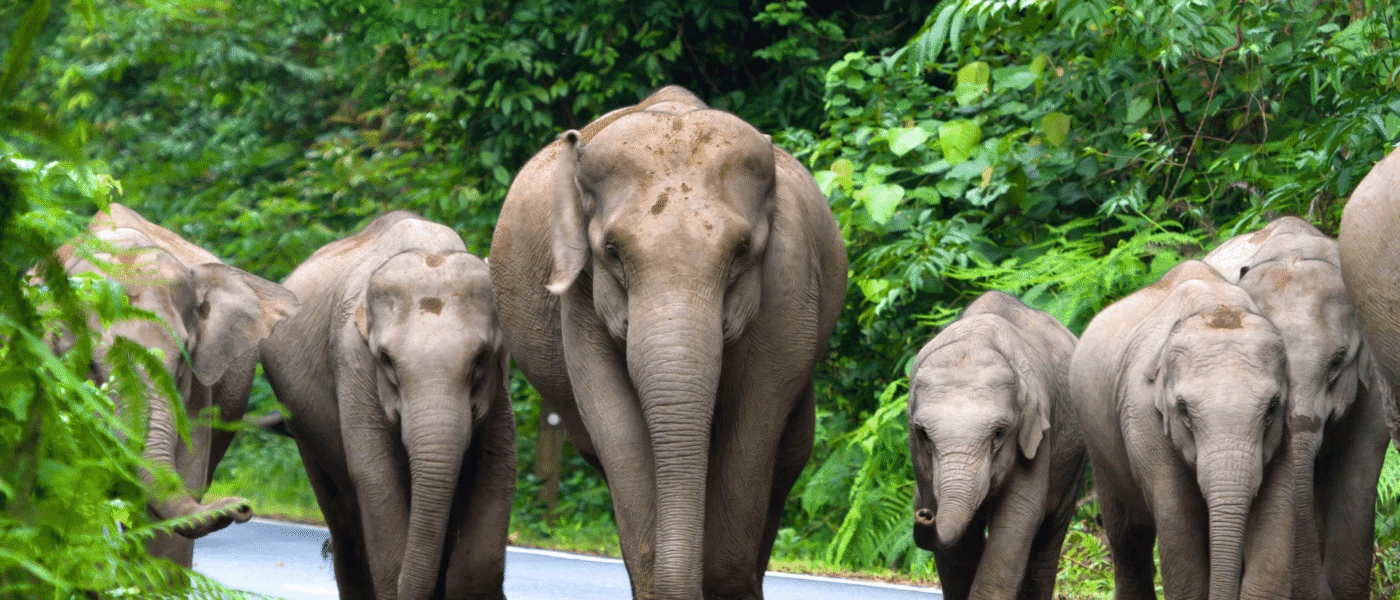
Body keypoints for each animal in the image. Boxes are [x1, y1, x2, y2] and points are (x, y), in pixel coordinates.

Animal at [260, 211, 515, 600]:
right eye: (386, 360)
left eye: (481, 359)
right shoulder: (352, 360)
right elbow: (374, 472)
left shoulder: (500, 385)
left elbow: (498, 469)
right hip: (302, 425)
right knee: (345, 524)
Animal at [489, 85, 847, 600]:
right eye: (613, 251)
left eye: (742, 250)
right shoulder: (580, 300)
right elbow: (614, 420)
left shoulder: (790, 283)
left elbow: (756, 416)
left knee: (788, 458)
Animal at [908, 291, 1086, 600]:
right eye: (923, 434)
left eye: (999, 433)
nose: (924, 513)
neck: (974, 340)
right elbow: (959, 552)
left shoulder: (1038, 435)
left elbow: (1017, 520)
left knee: (1046, 543)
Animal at [1069, 260, 1295, 600]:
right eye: (1184, 409)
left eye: (1271, 408)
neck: (1217, 306)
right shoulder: (1141, 414)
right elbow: (1178, 522)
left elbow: (1271, 517)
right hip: (1098, 444)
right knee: (1127, 539)